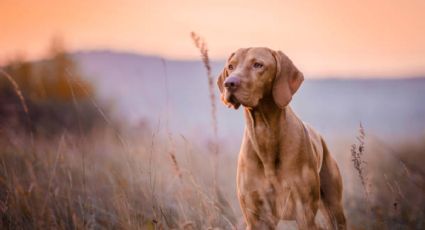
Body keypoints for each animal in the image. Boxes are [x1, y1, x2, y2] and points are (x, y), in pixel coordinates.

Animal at [217, 47, 346, 229]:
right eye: (230, 66)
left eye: (258, 65)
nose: (229, 83)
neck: (265, 134)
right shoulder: (256, 218)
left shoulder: (304, 213)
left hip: (334, 208)